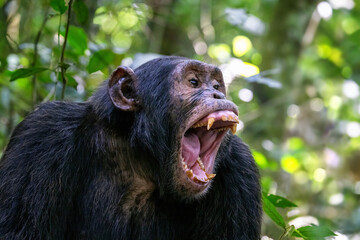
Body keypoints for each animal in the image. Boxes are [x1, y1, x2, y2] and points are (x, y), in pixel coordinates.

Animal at [0, 56, 260, 238]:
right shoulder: (44, 134)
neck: (141, 159)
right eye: (193, 82)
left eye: (216, 85)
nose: (217, 95)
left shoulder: (240, 168)